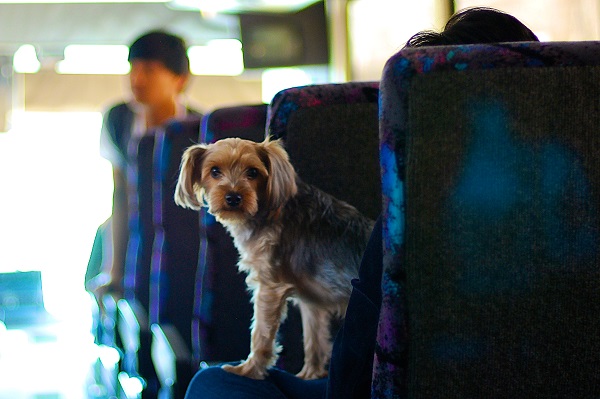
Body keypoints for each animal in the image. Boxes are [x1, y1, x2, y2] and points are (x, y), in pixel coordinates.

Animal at [173, 138, 372, 382]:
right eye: (214, 171)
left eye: (253, 172)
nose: (233, 197)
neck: (266, 210)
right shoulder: (312, 301)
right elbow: (314, 338)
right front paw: (310, 374)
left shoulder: (269, 286)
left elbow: (261, 332)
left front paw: (249, 370)